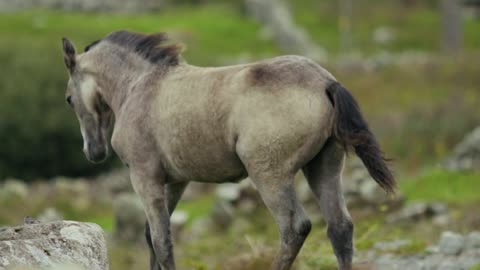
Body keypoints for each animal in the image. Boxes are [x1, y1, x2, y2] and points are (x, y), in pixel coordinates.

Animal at [62, 30, 396, 270]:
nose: (94, 152)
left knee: (294, 228)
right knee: (340, 228)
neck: (141, 86)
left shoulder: (145, 177)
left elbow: (161, 241)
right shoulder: (176, 181)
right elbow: (151, 236)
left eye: (68, 98)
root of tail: (325, 81)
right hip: (323, 166)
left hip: (269, 174)